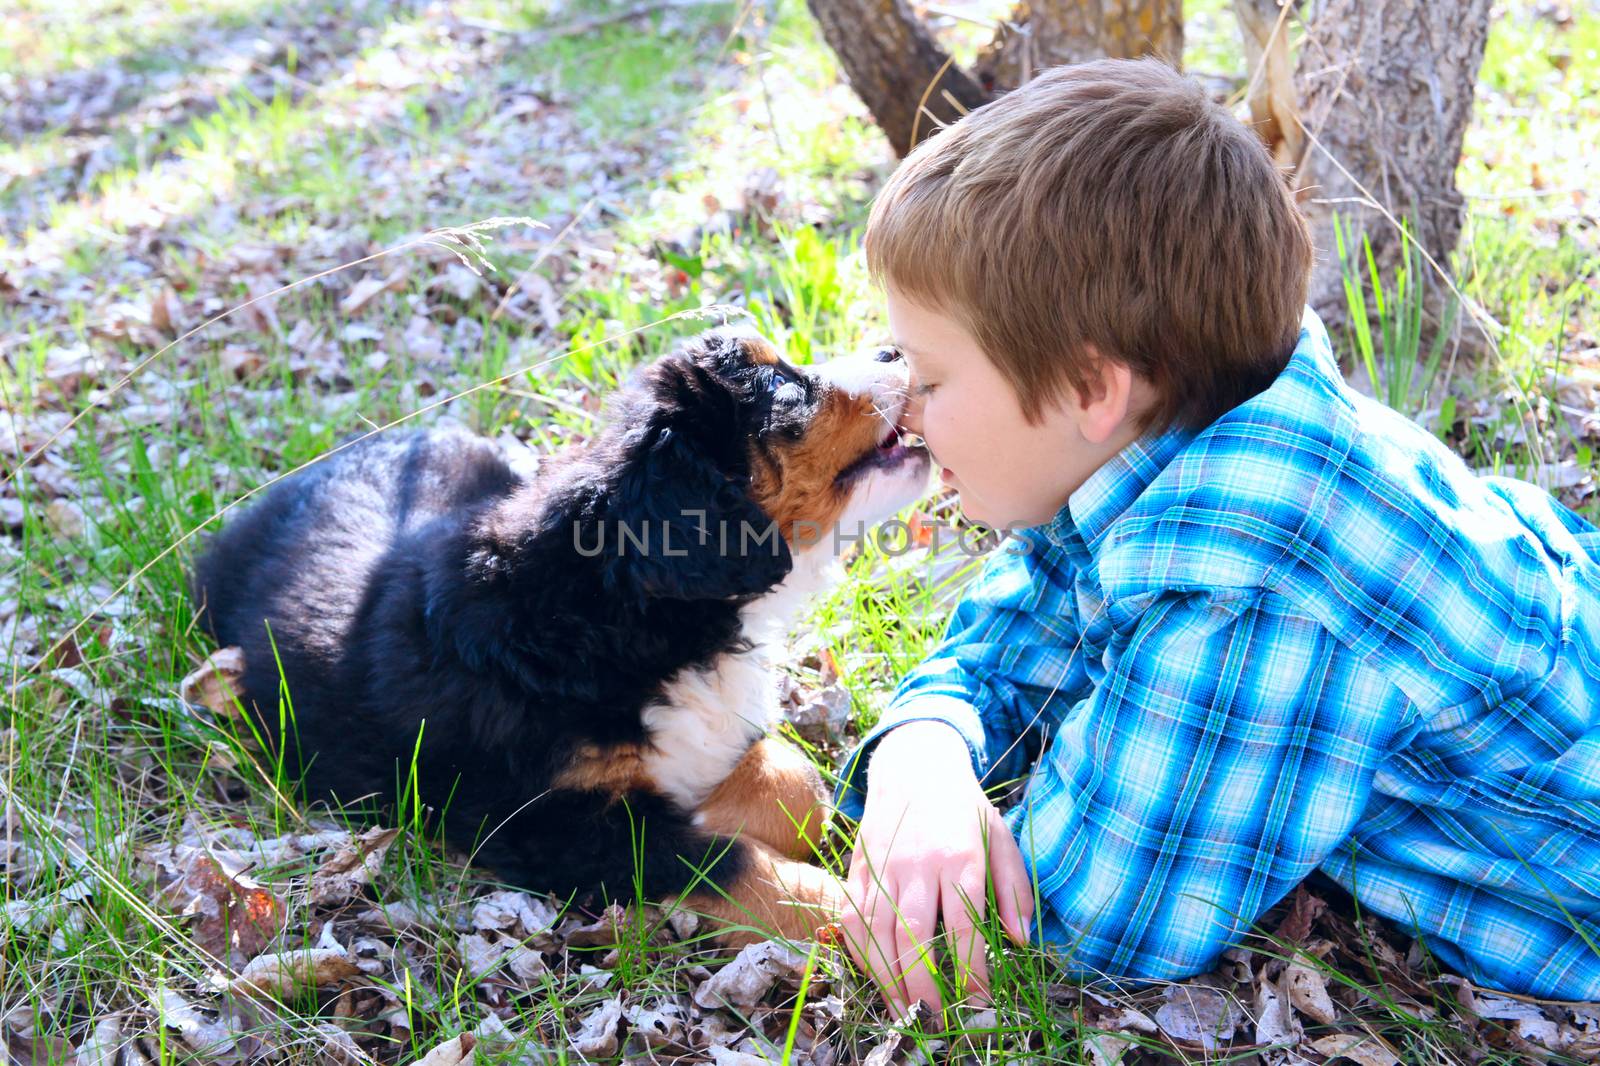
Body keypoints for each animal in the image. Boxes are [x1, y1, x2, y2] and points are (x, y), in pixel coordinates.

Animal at [192, 323, 934, 941]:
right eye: (782, 388)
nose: (897, 349)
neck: (622, 610)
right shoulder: (542, 821)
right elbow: (722, 862)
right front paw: (862, 918)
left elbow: (790, 778)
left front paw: (716, 806)